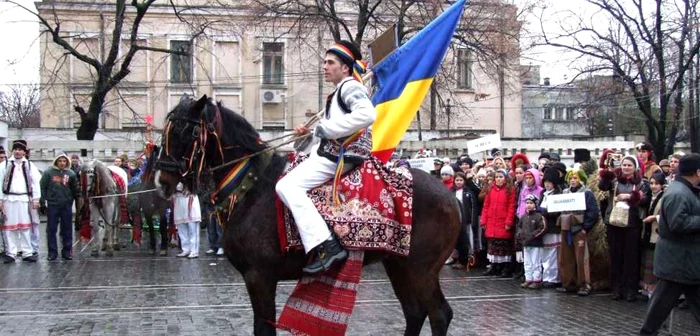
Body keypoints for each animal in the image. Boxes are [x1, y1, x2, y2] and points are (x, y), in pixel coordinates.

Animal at [155, 95, 460, 336]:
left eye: (184, 132)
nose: (161, 181)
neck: (251, 187)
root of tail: (449, 196)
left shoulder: (259, 277)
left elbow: (263, 328)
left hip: (421, 270)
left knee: (439, 314)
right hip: (398, 265)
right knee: (414, 313)